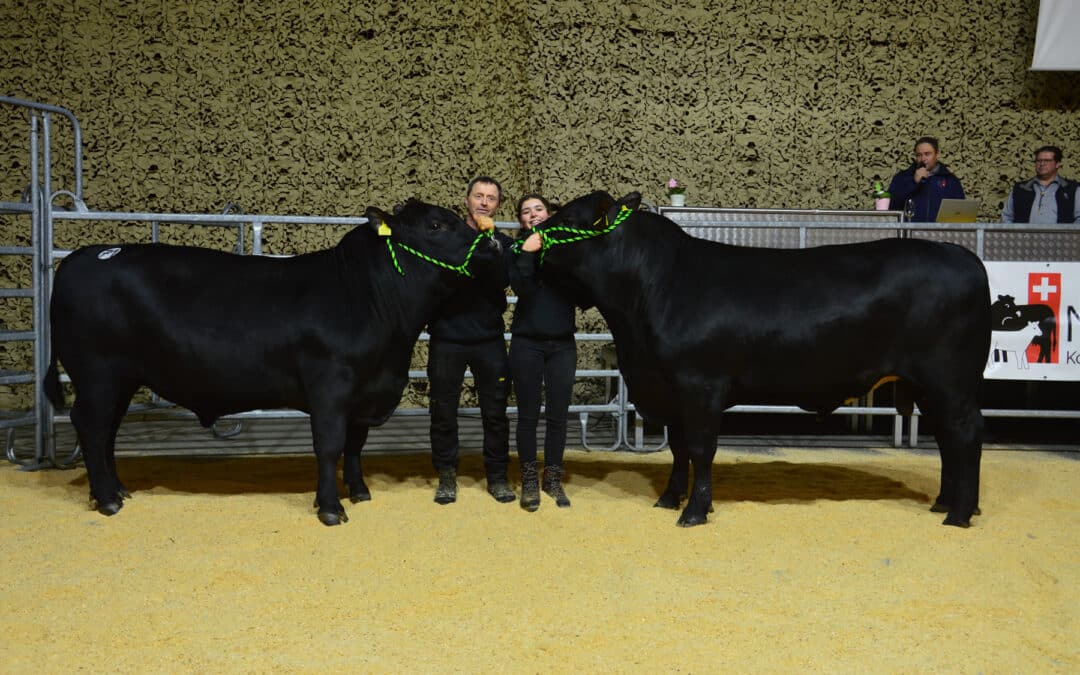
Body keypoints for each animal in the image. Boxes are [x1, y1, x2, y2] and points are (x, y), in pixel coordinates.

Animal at [42, 197, 496, 524]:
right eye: (435, 225)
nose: (492, 243)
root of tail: (81, 257)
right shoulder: (330, 385)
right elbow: (329, 445)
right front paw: (330, 508)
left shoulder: (365, 392)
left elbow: (355, 444)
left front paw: (359, 491)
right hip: (97, 373)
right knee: (91, 425)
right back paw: (107, 500)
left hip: (121, 378)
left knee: (106, 432)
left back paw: (116, 490)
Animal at [527, 190, 989, 527]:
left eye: (566, 215)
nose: (526, 237)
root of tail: (964, 257)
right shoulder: (670, 392)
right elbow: (678, 450)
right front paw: (669, 499)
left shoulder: (700, 387)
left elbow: (700, 449)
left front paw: (695, 511)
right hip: (928, 386)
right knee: (948, 439)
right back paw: (945, 502)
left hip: (950, 380)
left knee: (965, 435)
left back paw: (958, 514)